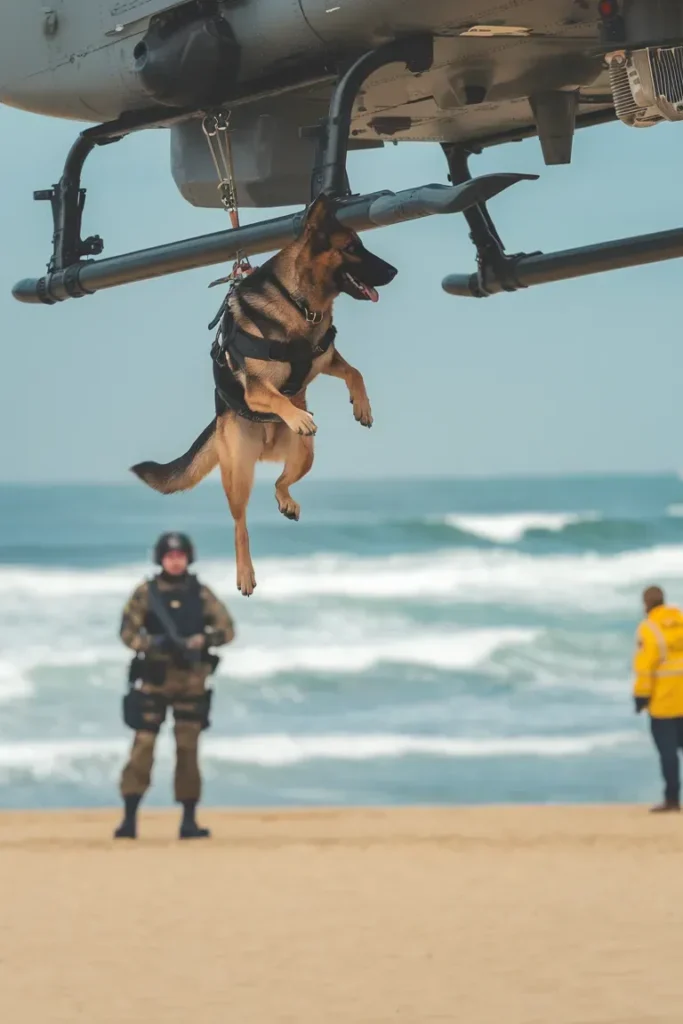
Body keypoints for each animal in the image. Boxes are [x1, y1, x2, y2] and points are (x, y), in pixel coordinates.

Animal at [132, 192, 397, 598]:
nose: (394, 272)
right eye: (352, 248)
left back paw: (286, 500)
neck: (300, 303)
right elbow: (276, 398)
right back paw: (245, 572)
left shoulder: (326, 358)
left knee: (279, 482)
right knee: (239, 524)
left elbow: (354, 371)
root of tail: (266, 448)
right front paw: (297, 414)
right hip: (239, 475)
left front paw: (362, 406)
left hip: (304, 456)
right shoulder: (257, 389)